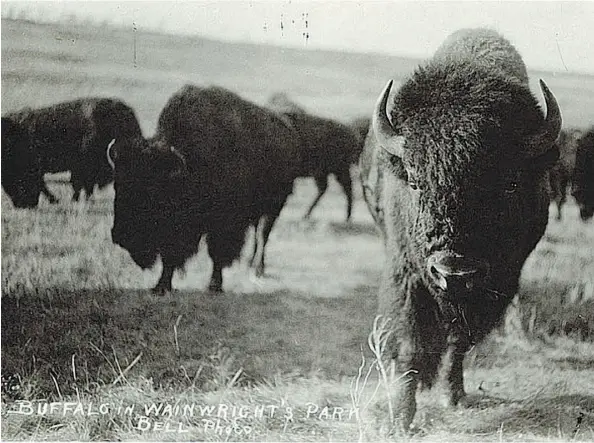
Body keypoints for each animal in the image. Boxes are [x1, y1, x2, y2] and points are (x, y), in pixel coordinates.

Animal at [107, 86, 300, 294]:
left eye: (152, 190)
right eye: (117, 185)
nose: (120, 235)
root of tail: (287, 130)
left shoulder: (225, 223)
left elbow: (217, 253)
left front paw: (214, 285)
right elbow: (170, 255)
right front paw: (161, 286)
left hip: (273, 207)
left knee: (262, 236)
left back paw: (257, 269)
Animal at [356, 27, 560, 430]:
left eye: (510, 183)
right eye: (415, 181)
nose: (454, 271)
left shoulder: (497, 284)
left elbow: (459, 340)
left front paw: (454, 396)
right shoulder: (407, 274)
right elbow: (410, 342)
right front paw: (400, 418)